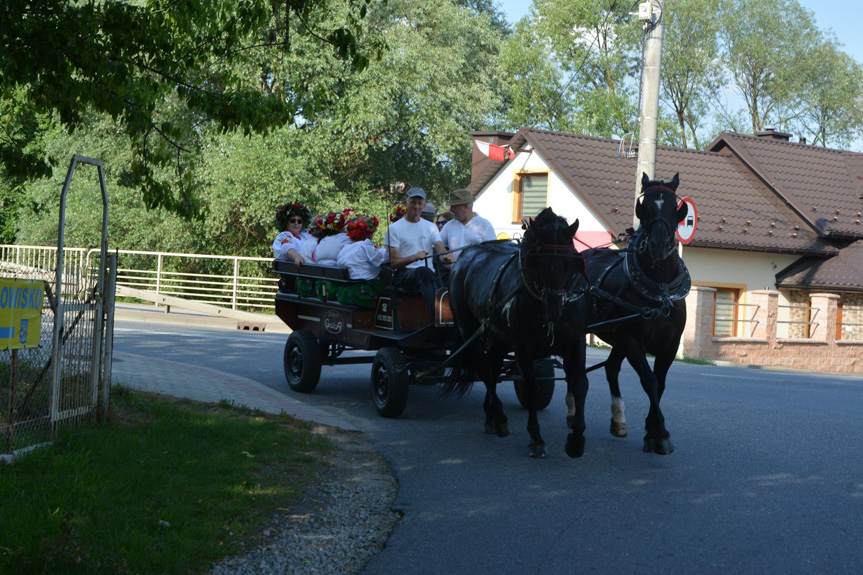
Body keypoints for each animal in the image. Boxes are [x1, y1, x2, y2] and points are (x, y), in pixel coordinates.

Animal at [448, 207, 592, 460]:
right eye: (540, 262)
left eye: (572, 262)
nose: (555, 308)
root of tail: (465, 257)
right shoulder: (523, 345)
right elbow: (531, 387)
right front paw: (536, 438)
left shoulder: (575, 342)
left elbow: (579, 384)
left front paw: (576, 440)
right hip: (470, 330)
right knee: (483, 369)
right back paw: (500, 418)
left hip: (499, 339)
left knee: (493, 368)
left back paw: (491, 416)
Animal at [572, 173, 692, 456]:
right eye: (644, 207)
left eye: (673, 207)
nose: (658, 245)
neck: (660, 289)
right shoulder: (631, 339)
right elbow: (649, 381)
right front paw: (661, 433)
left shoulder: (670, 345)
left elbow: (660, 383)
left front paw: (651, 431)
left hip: (616, 339)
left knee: (611, 368)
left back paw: (618, 419)